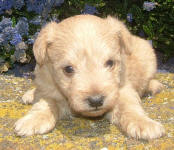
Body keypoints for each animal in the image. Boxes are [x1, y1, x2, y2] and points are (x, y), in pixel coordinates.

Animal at [14, 14, 164, 140]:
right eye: (68, 69)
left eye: (110, 63)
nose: (96, 101)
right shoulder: (47, 88)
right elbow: (44, 104)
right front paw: (33, 120)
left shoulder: (123, 89)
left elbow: (129, 107)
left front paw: (143, 123)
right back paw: (30, 94)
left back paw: (153, 86)